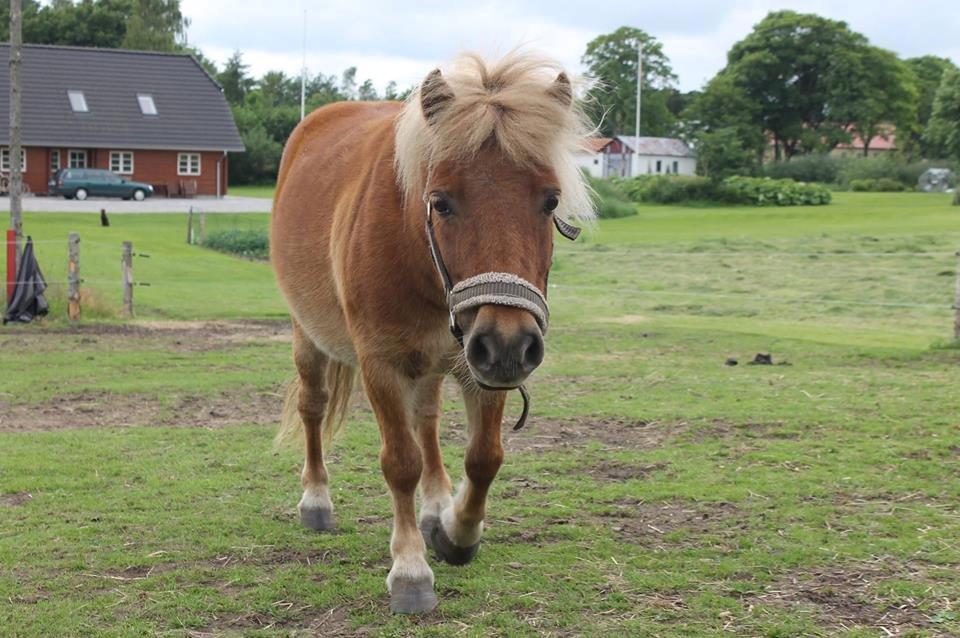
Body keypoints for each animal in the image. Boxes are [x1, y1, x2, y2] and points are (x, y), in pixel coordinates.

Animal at [266, 51, 588, 616]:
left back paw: (437, 506)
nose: (510, 344)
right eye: (440, 202)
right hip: (309, 336)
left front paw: (456, 531)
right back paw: (317, 500)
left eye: (550, 201)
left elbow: (483, 458)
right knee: (314, 407)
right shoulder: (381, 363)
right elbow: (400, 463)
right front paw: (411, 570)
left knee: (428, 421)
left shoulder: (479, 366)